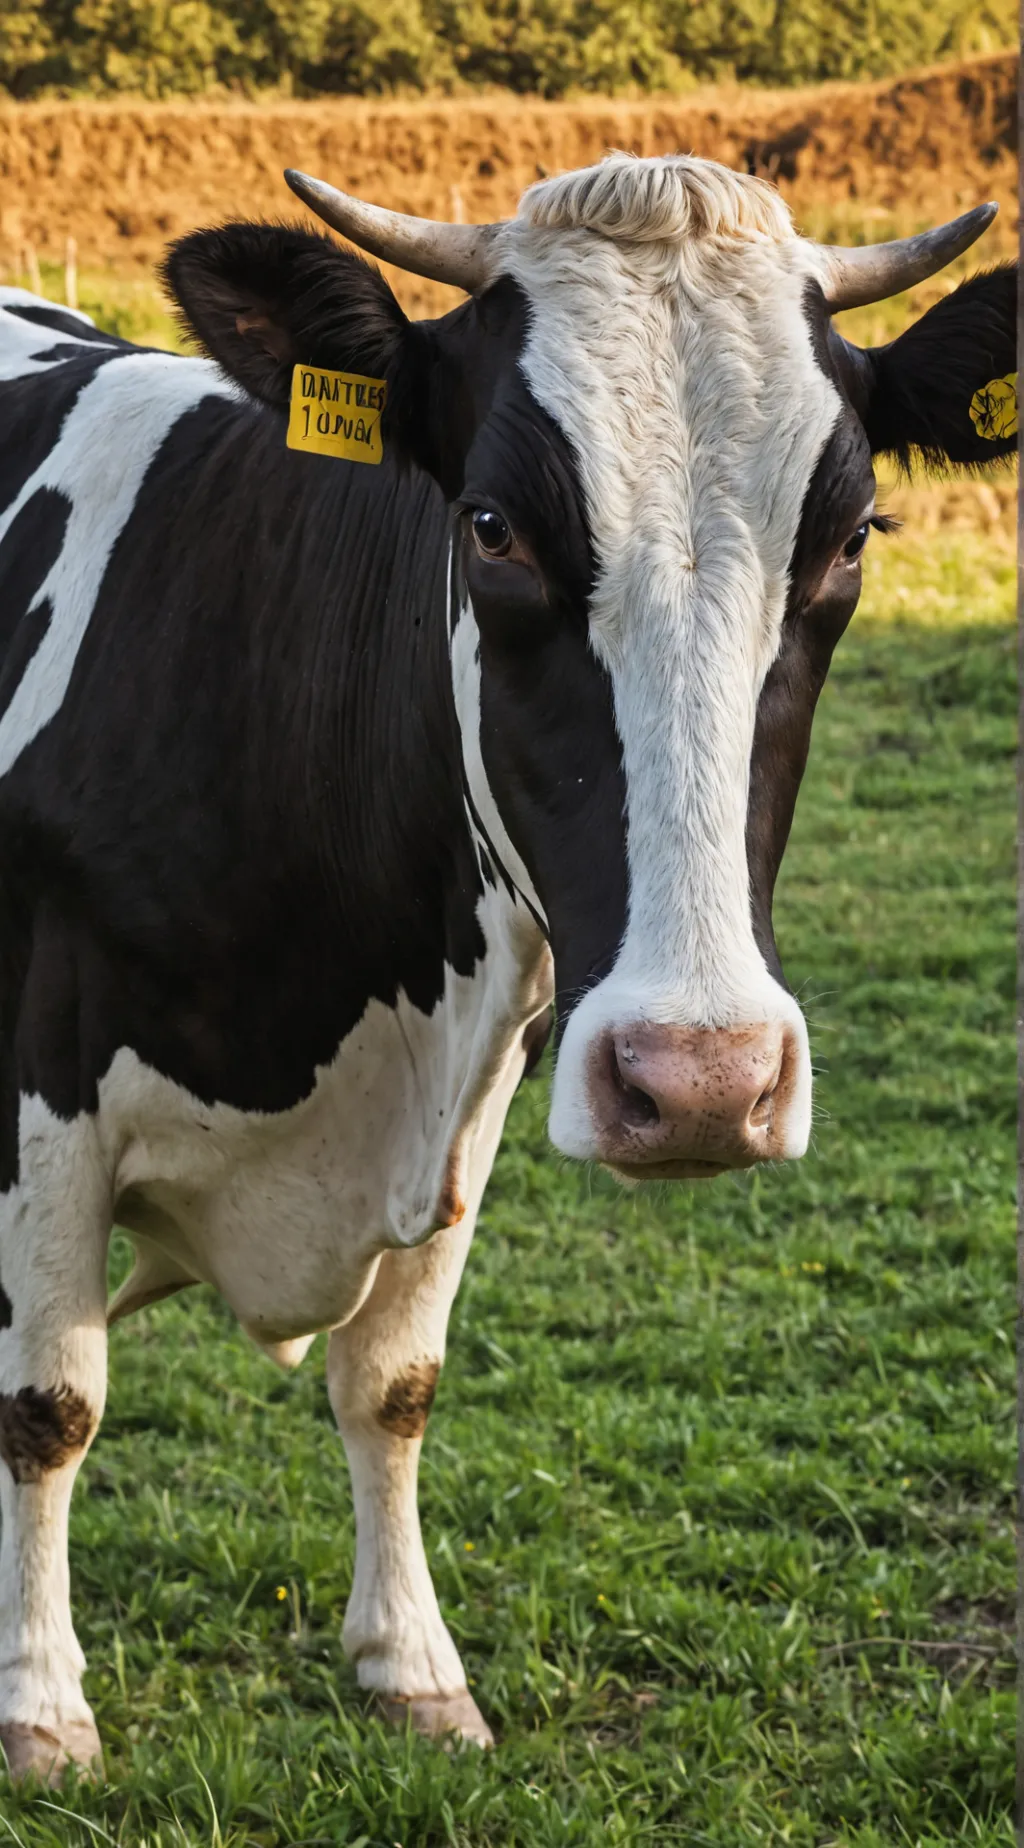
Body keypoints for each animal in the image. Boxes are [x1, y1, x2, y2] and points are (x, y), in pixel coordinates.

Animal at [0, 153, 1014, 1784]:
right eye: (489, 526)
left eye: (853, 538)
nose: (706, 1081)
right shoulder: (40, 1102)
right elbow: (50, 1404)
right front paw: (39, 1705)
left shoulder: (473, 1083)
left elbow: (392, 1386)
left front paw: (410, 1665)